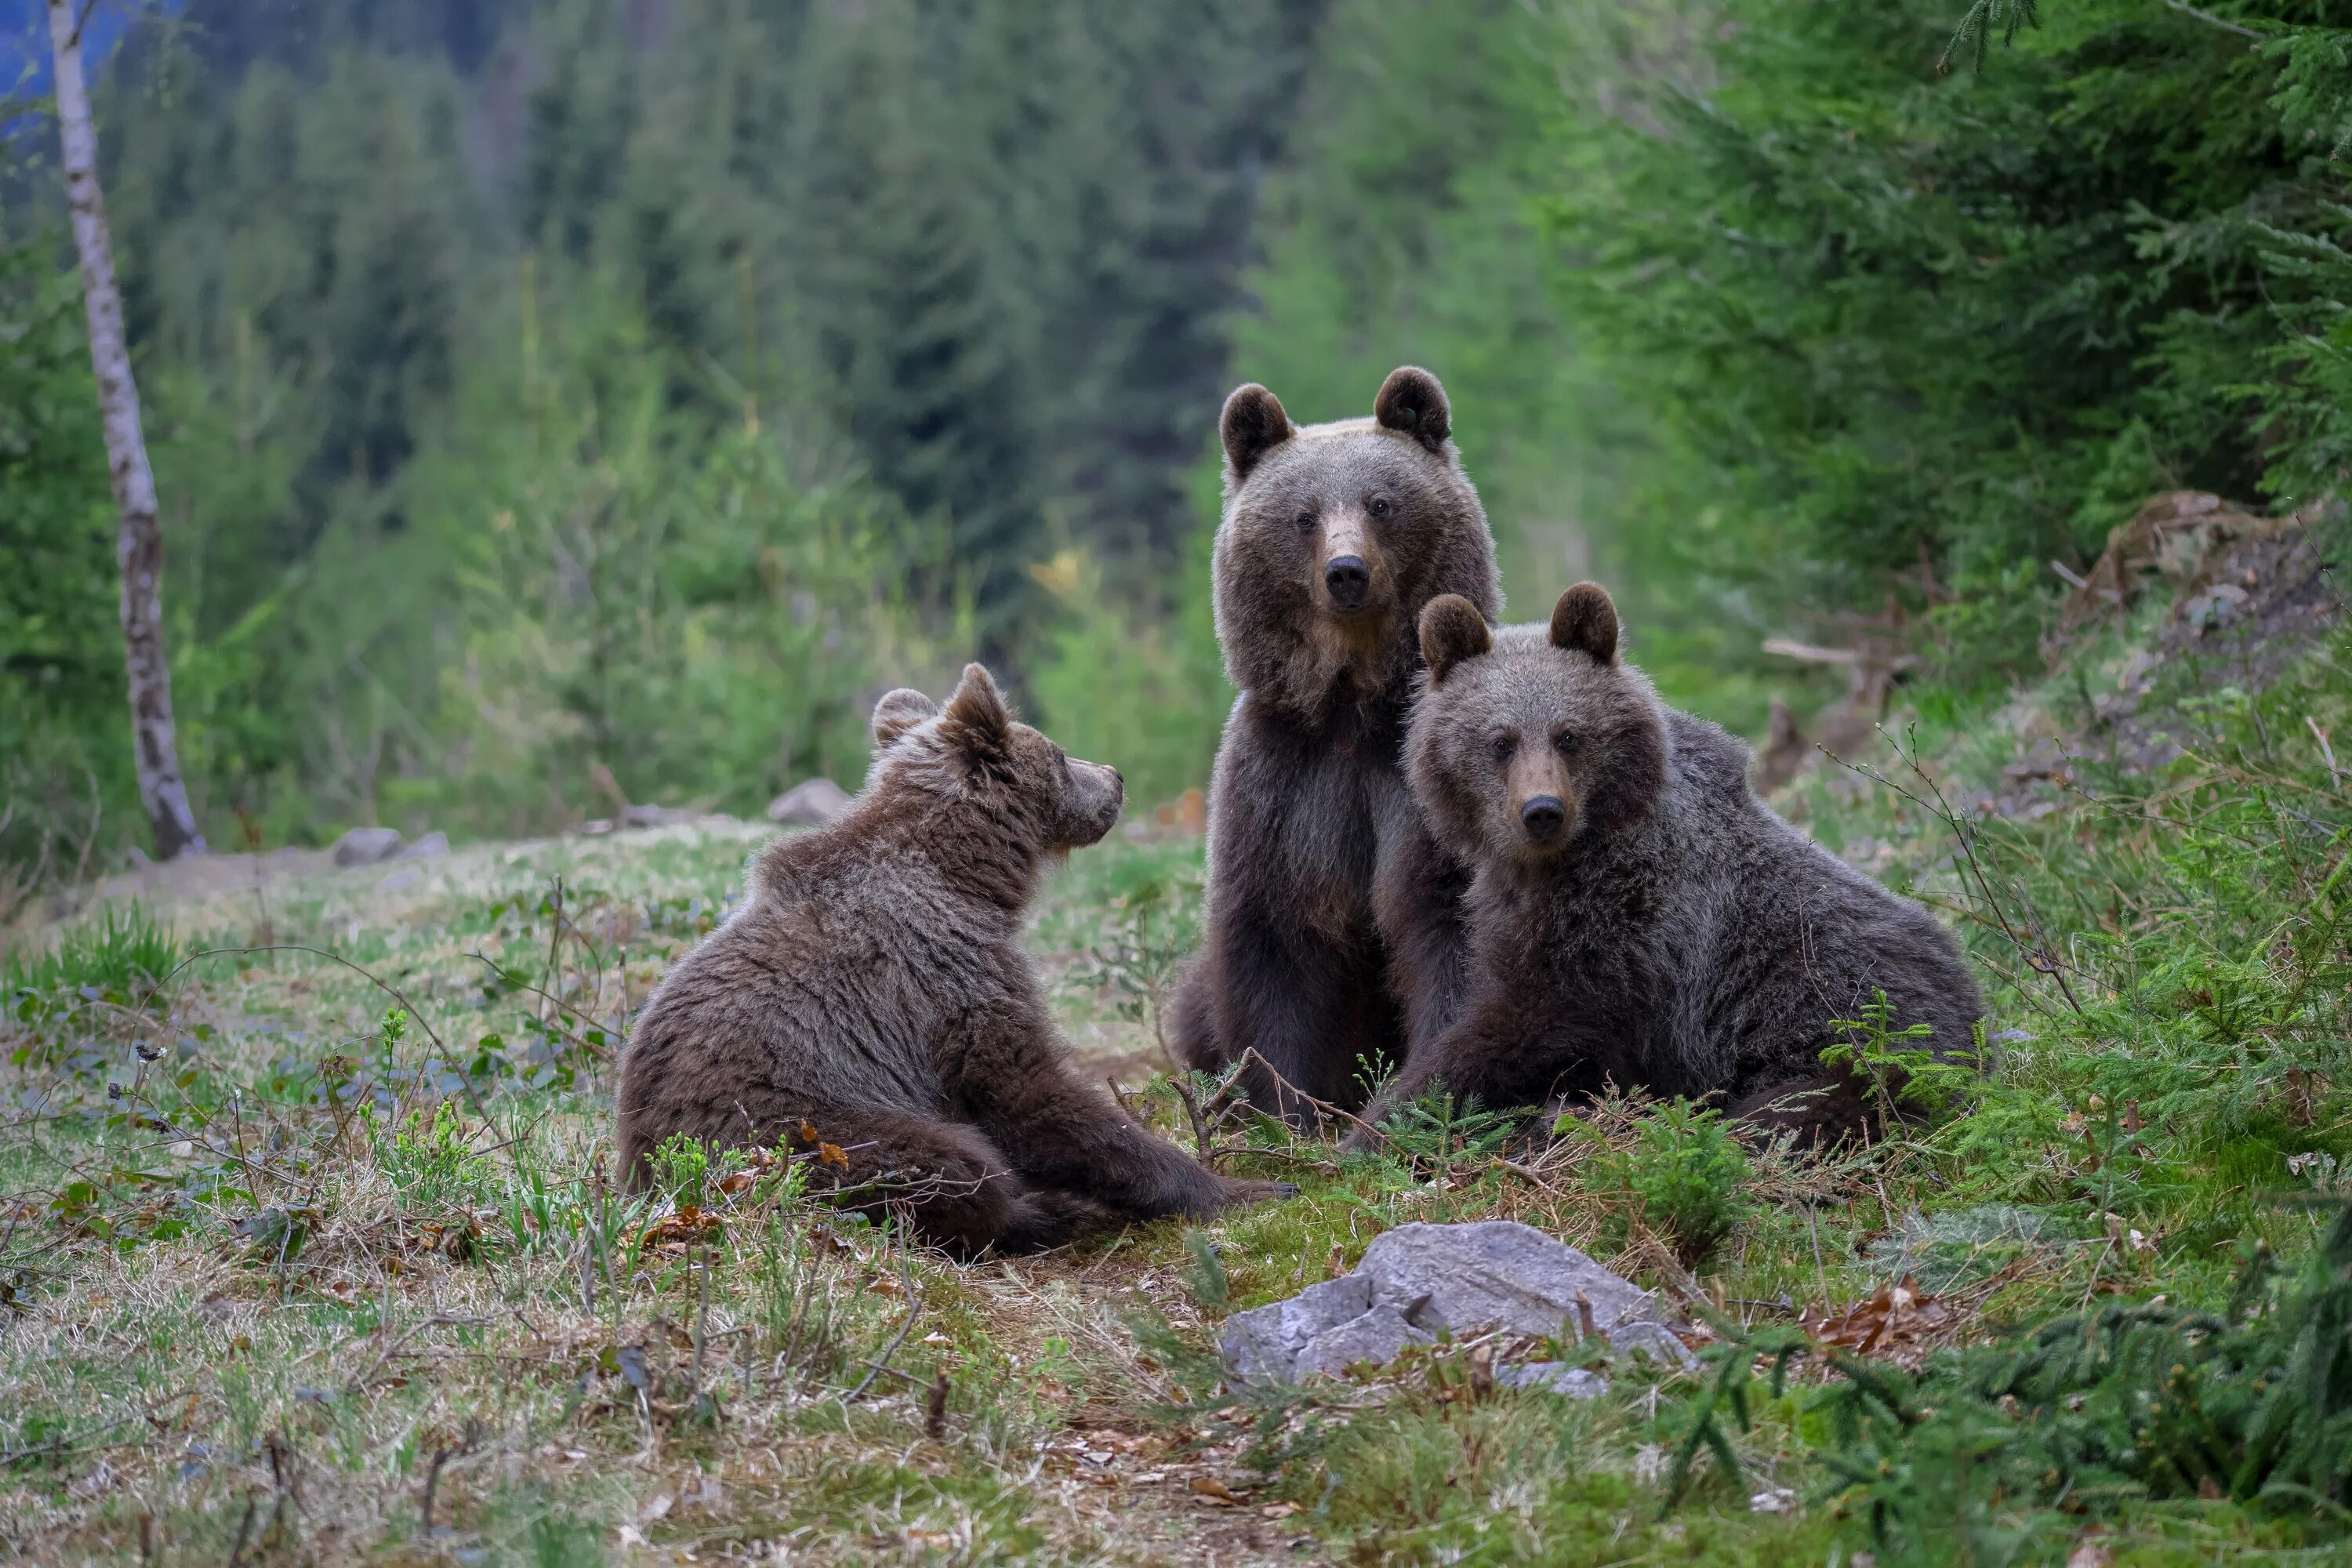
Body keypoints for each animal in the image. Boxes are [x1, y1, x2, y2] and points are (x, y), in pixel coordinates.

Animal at [616, 667, 1298, 1260]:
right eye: (1057, 754)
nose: (1115, 776)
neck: (966, 875)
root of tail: (652, 1183)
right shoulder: (950, 974)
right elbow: (1029, 1093)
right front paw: (1247, 1188)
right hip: (796, 1127)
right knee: (950, 1163)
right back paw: (1042, 1212)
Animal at [1162, 361, 1505, 1123]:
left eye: (1381, 502)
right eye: (1303, 515)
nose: (1346, 571)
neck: (1351, 705)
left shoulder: (1418, 787)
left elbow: (1450, 925)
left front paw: (1416, 1098)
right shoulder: (1286, 785)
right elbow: (1276, 946)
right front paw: (1287, 1107)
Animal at [1345, 583, 1985, 1147]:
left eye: (1569, 735)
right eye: (1500, 741)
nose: (1543, 811)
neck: (1557, 862)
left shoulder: (1630, 921)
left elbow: (1525, 1026)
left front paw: (1378, 1123)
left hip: (1854, 1041)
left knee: (1794, 1113)